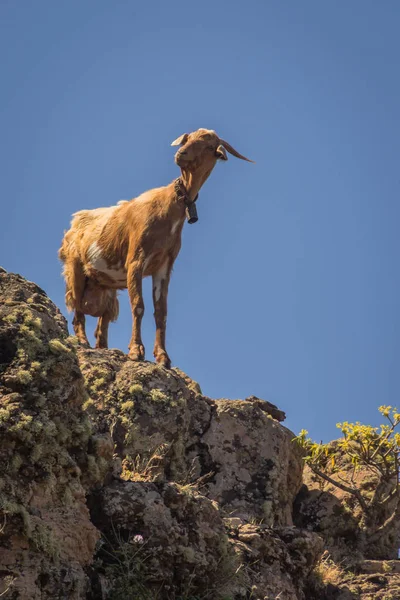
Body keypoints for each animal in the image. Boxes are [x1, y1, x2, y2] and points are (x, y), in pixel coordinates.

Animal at [58, 129, 253, 368]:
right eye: (188, 138)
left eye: (209, 146)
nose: (181, 153)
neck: (168, 207)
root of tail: (73, 225)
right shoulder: (136, 260)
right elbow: (138, 305)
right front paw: (136, 351)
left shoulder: (164, 266)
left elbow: (161, 312)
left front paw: (163, 357)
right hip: (75, 269)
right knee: (77, 309)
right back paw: (82, 342)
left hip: (106, 286)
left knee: (102, 322)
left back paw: (102, 347)